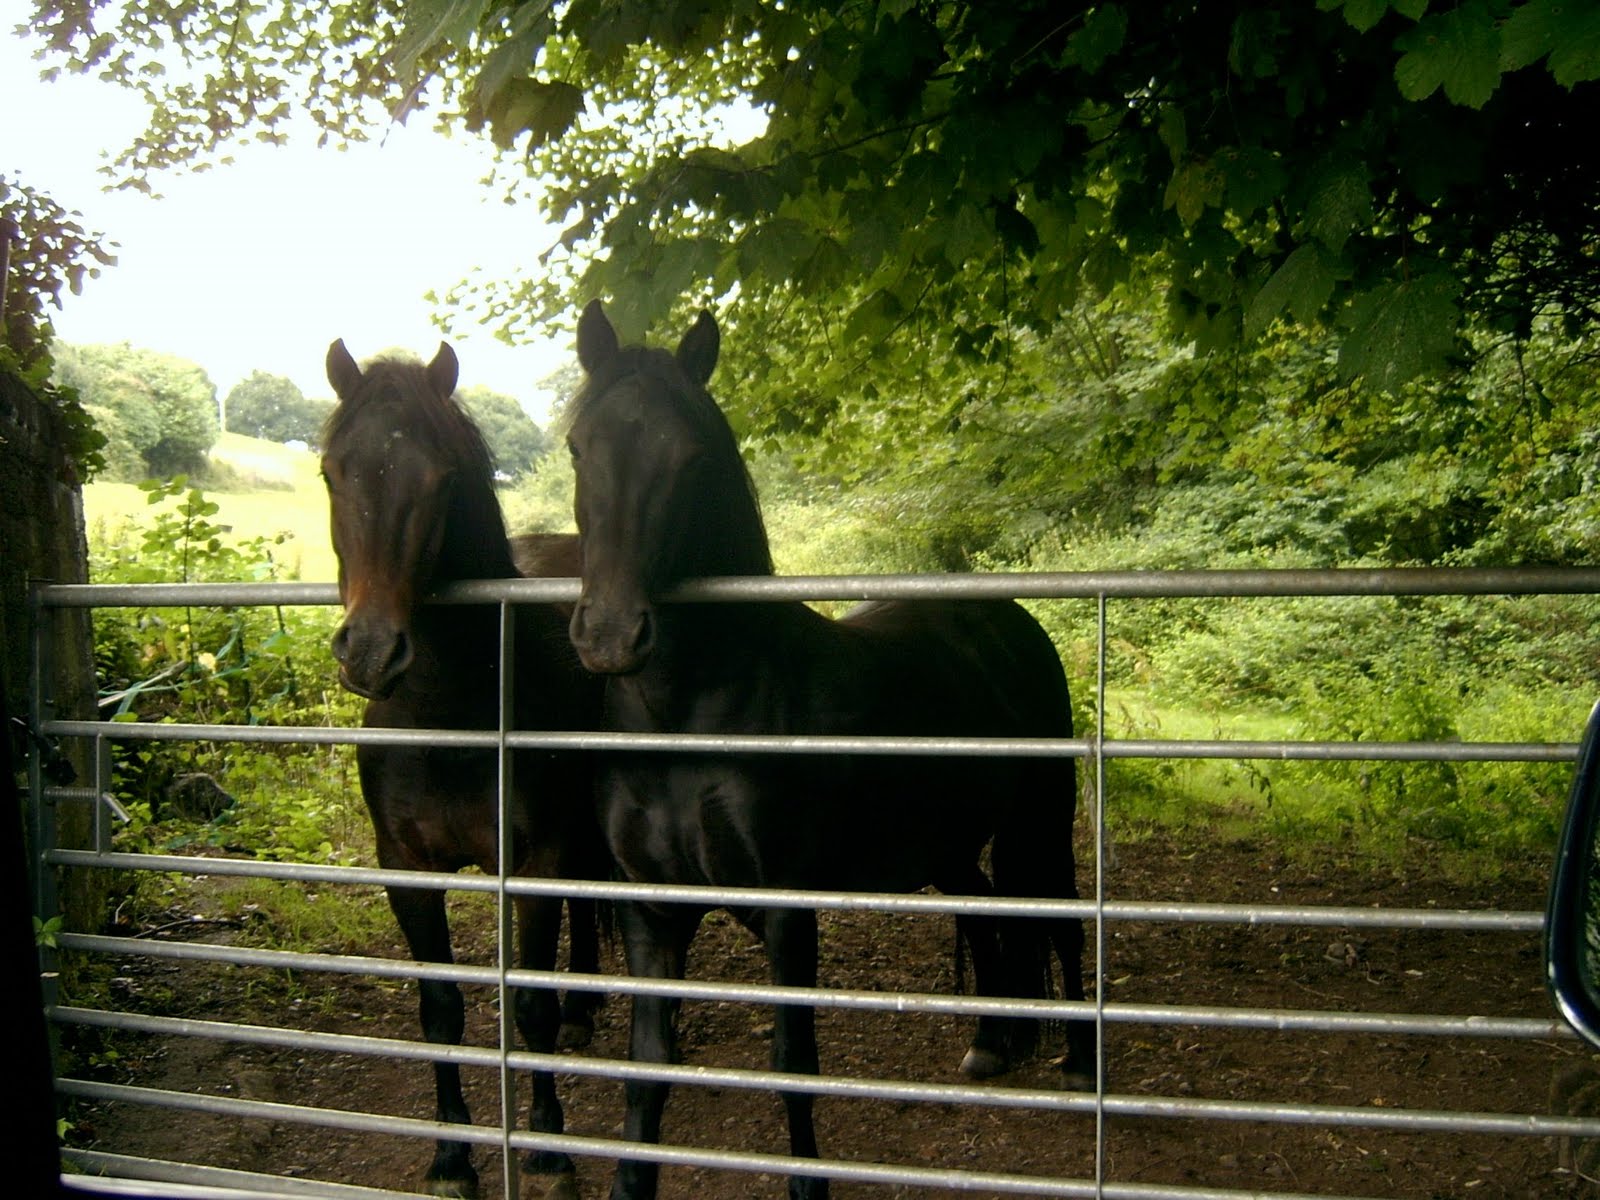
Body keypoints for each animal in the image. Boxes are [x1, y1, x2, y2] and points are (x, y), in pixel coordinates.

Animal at [322, 340, 609, 1198]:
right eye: (331, 473)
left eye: (442, 479)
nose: (370, 649)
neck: (448, 713)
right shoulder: (406, 868)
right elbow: (440, 1011)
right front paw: (451, 1156)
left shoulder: (537, 861)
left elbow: (530, 1010)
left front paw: (549, 1148)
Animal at [563, 301, 1095, 1200]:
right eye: (577, 445)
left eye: (691, 455)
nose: (609, 636)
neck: (689, 722)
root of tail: (1007, 621)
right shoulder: (650, 912)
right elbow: (648, 1071)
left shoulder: (787, 912)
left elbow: (793, 1064)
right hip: (944, 842)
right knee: (987, 911)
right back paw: (992, 1042)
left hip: (1042, 822)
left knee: (1060, 924)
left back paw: (1082, 1066)